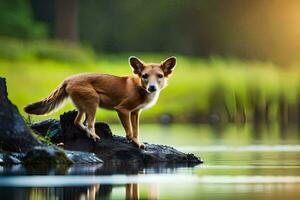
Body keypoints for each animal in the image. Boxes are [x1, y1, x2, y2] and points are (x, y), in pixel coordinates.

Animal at [25, 55, 178, 148]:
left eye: (159, 76)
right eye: (145, 76)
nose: (152, 87)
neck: (139, 88)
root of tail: (68, 79)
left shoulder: (135, 112)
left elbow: (136, 130)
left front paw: (138, 142)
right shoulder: (122, 110)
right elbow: (129, 131)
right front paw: (132, 141)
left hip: (83, 107)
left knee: (77, 122)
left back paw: (87, 133)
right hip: (93, 102)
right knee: (89, 123)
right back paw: (93, 135)